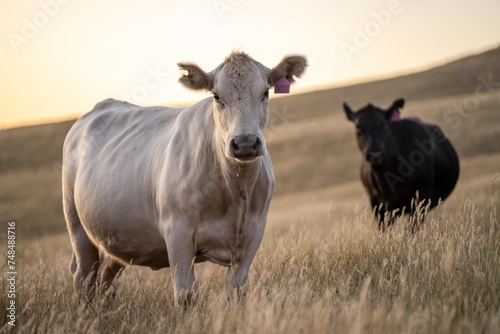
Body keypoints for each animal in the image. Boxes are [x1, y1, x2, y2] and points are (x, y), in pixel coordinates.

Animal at [61, 50, 306, 306]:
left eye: (266, 92)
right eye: (216, 96)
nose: (245, 143)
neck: (235, 190)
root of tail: (102, 106)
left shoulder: (254, 234)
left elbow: (234, 290)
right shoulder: (178, 233)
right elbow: (186, 294)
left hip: (113, 240)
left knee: (105, 277)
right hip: (77, 227)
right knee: (83, 275)